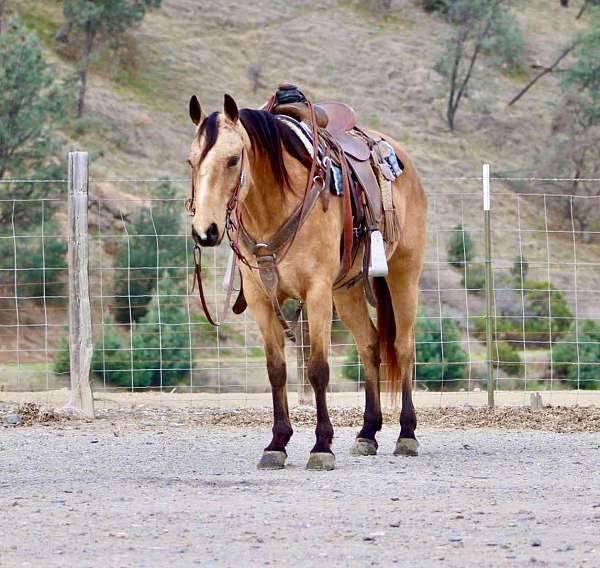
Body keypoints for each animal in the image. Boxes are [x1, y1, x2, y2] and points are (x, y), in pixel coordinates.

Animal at [186, 87, 426, 470]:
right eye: (191, 161)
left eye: (233, 159)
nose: (205, 231)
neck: (276, 205)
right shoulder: (260, 298)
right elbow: (276, 369)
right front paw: (277, 443)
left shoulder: (316, 293)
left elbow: (317, 369)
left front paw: (322, 446)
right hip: (347, 290)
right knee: (369, 345)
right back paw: (367, 433)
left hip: (404, 273)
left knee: (403, 347)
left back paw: (406, 433)